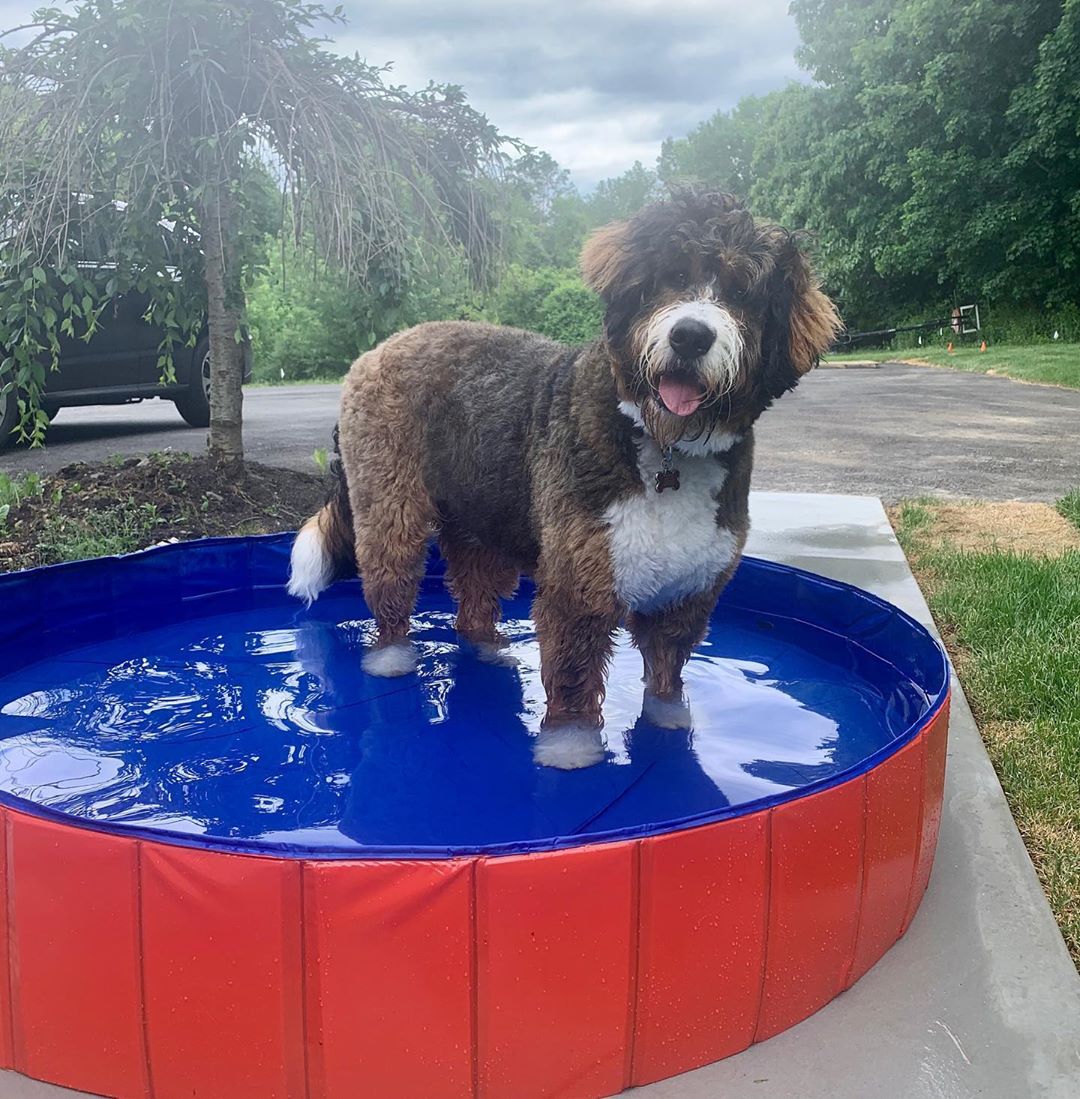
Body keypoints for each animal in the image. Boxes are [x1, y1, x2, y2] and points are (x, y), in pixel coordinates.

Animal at [290, 189, 843, 769]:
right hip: (390, 503)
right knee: (390, 577)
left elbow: (667, 665)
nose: (690, 335)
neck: (665, 446)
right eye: (672, 275)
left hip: (482, 516)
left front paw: (669, 719)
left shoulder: (688, 588)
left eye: (742, 293)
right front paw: (571, 747)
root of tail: (382, 347)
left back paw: (487, 647)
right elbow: (575, 667)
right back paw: (392, 656)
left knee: (474, 593)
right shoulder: (581, 579)